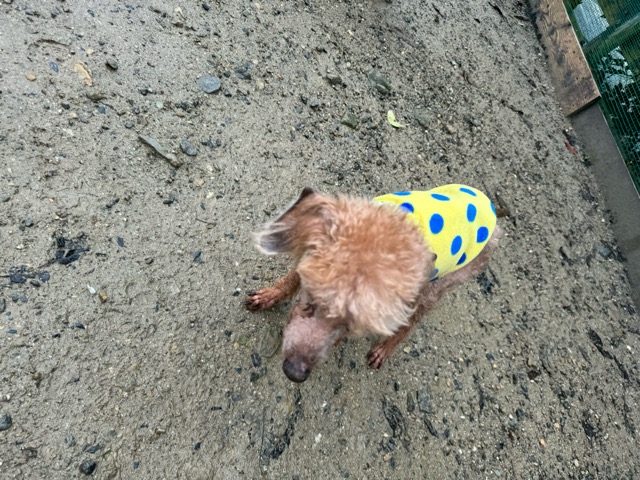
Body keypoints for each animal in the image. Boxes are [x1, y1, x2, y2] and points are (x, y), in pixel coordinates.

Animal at [246, 185, 500, 382]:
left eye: (350, 327)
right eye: (312, 301)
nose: (295, 372)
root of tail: (491, 209)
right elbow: (293, 277)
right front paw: (269, 296)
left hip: (442, 283)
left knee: (412, 320)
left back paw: (385, 348)